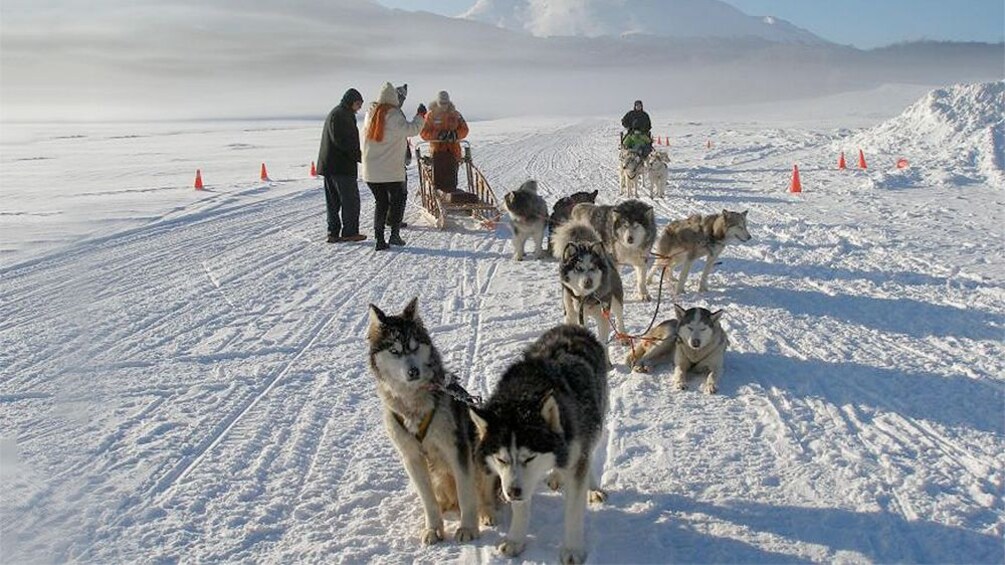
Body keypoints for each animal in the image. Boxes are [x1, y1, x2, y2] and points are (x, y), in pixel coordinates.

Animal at [365, 297, 498, 542]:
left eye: (414, 346)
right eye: (394, 350)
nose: (413, 372)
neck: (413, 406)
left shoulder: (457, 450)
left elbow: (467, 495)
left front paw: (467, 527)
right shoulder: (411, 457)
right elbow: (428, 500)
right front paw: (434, 528)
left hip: (481, 456)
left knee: (483, 494)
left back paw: (486, 512)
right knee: (442, 498)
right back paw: (445, 507)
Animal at [468, 321, 607, 562]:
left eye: (530, 457)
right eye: (501, 460)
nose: (512, 493)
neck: (525, 394)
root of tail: (571, 326)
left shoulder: (573, 454)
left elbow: (573, 511)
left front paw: (572, 549)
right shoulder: (517, 480)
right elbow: (521, 509)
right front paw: (515, 540)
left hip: (594, 422)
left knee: (586, 453)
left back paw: (591, 487)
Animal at [554, 218, 623, 361]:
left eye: (593, 267)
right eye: (578, 268)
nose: (588, 281)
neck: (585, 298)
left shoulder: (603, 316)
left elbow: (603, 342)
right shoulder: (571, 315)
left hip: (616, 300)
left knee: (620, 317)